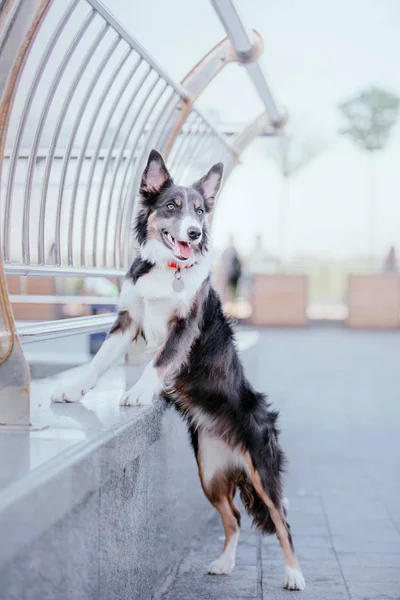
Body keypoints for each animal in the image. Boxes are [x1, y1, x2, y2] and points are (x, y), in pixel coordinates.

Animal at [51, 149, 304, 592]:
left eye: (200, 211)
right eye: (171, 206)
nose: (195, 234)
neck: (169, 269)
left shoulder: (184, 328)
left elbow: (159, 360)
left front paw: (137, 392)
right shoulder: (127, 320)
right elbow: (100, 361)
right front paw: (74, 389)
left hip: (262, 470)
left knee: (281, 521)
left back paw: (293, 575)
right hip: (209, 474)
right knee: (234, 519)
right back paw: (224, 564)